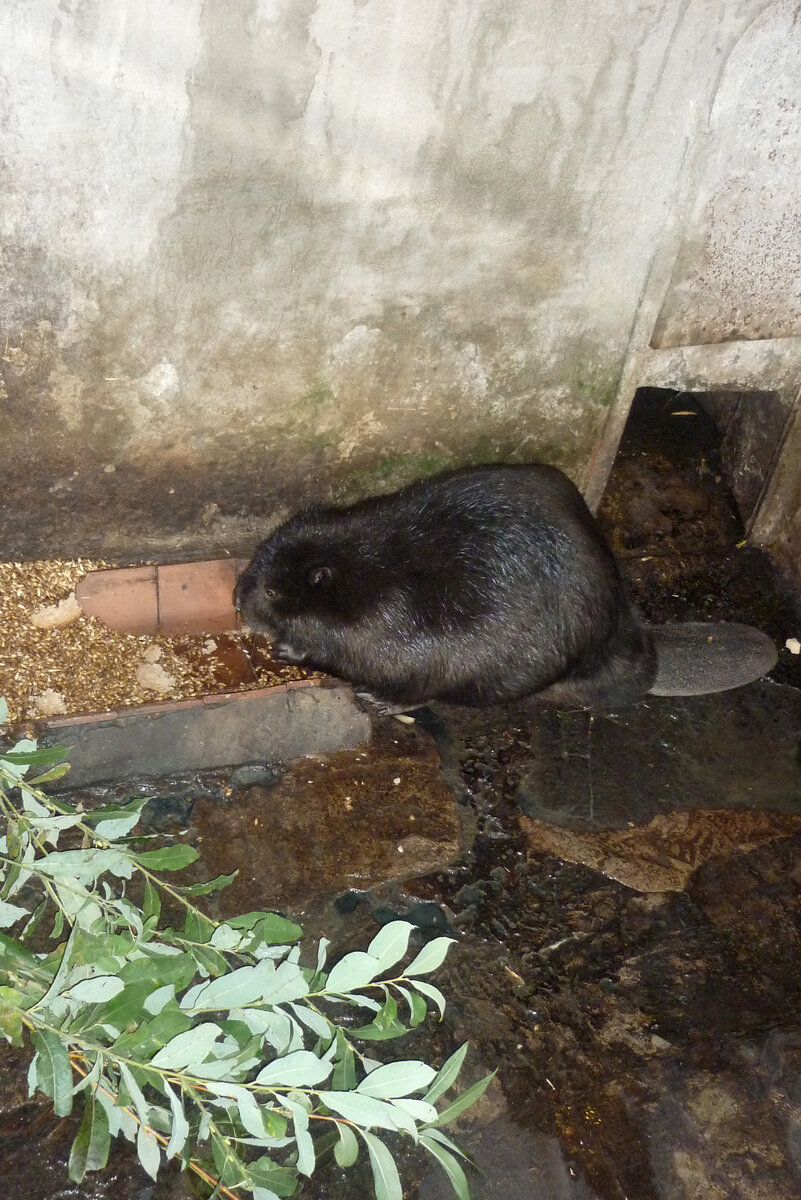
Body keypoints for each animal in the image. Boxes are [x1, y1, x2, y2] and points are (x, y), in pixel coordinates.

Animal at [232, 463, 661, 710]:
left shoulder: (386, 622)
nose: (236, 599)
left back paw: (380, 700)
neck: (369, 575)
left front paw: (289, 648)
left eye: (272, 592)